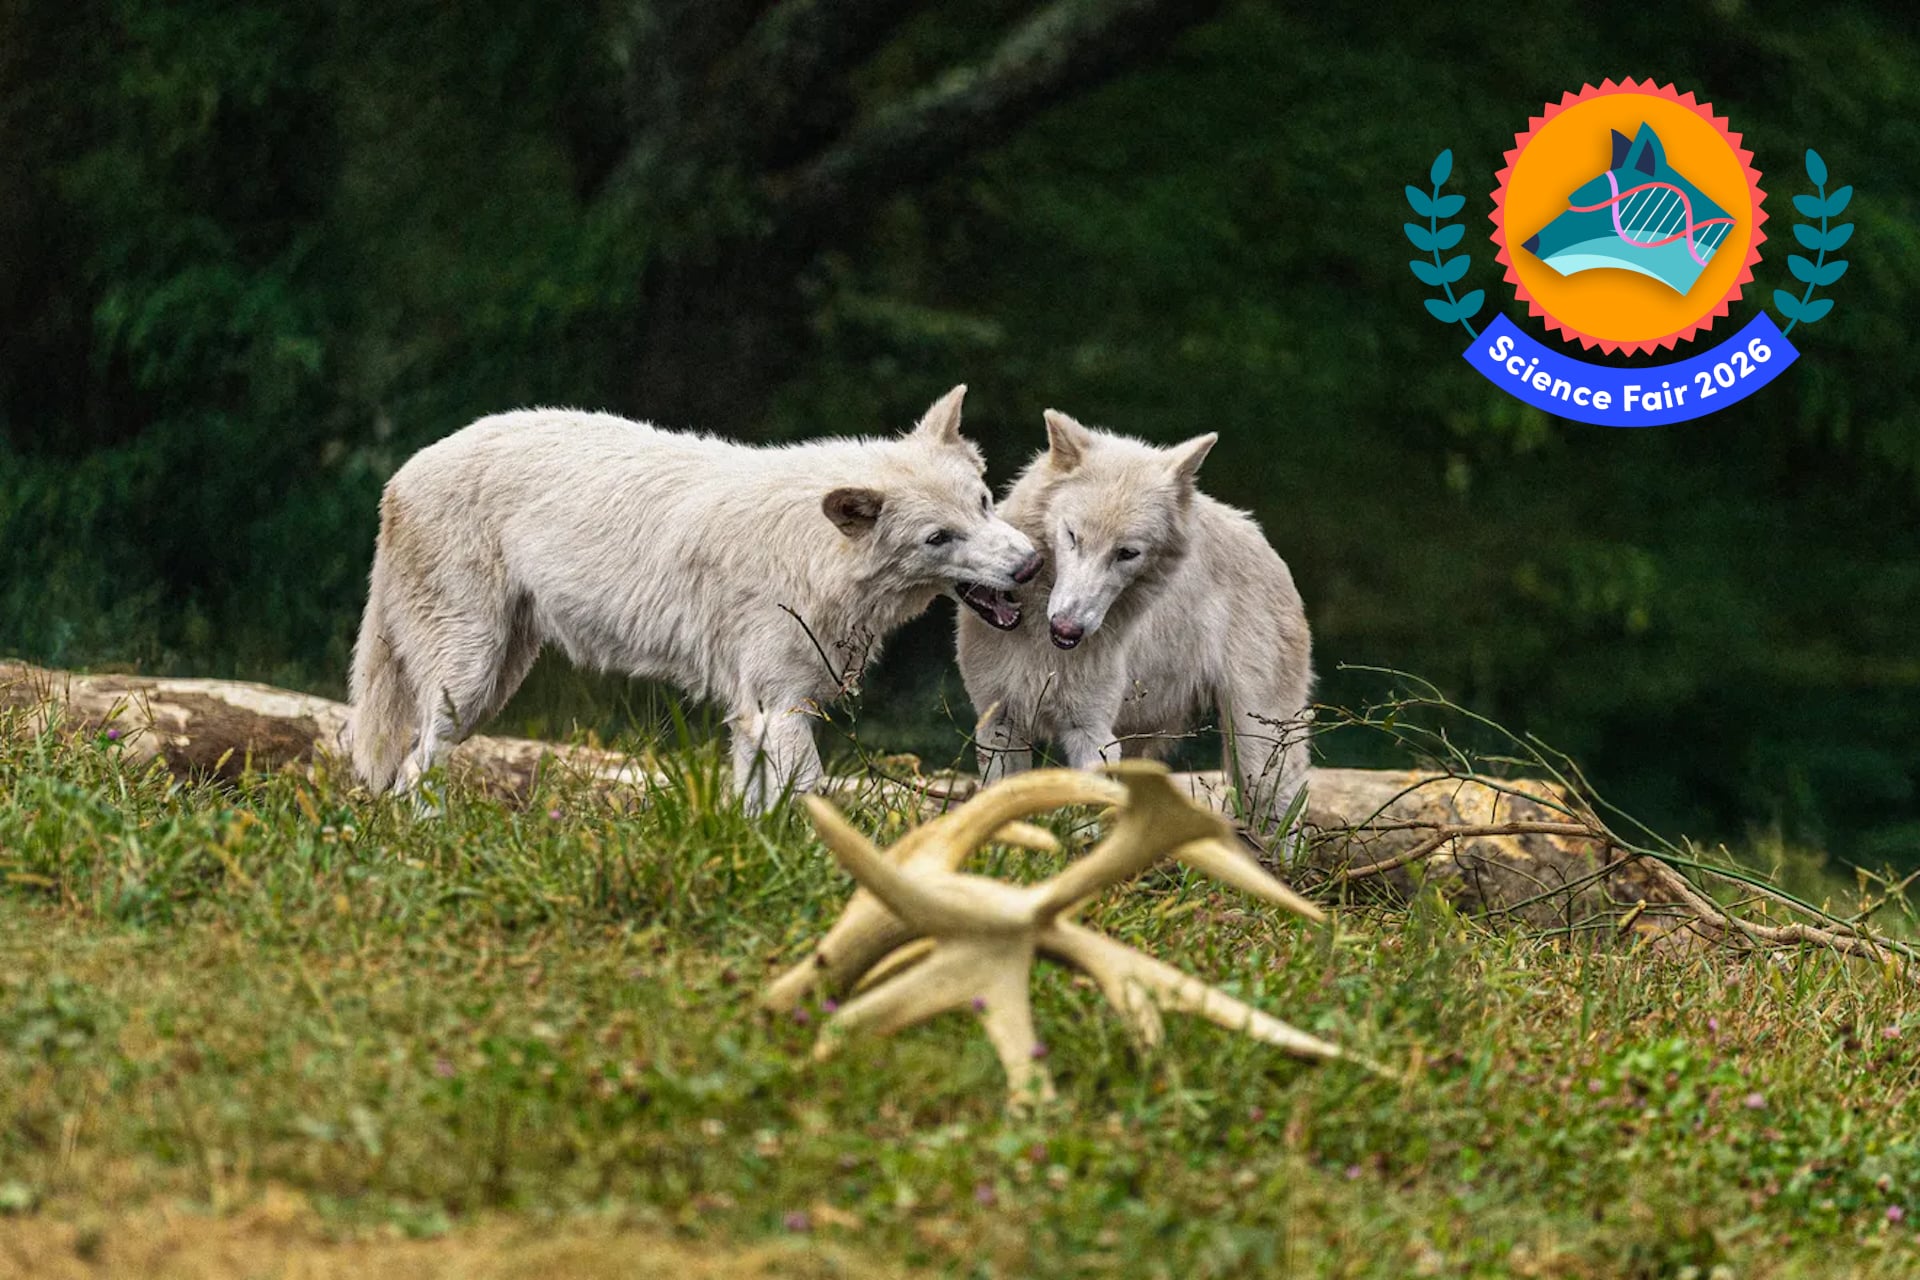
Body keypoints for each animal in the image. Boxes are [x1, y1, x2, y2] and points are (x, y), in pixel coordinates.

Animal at [348, 386, 1041, 813]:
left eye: (984, 503)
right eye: (938, 537)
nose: (1031, 564)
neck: (815, 554)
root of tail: (401, 475)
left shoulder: (758, 717)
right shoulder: (778, 711)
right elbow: (813, 801)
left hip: (494, 684)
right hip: (468, 680)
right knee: (414, 769)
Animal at [955, 411, 1314, 838]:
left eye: (1127, 553)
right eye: (1072, 536)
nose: (1067, 629)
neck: (1040, 640)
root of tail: (1265, 543)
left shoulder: (1089, 732)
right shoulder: (999, 722)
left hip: (1257, 747)